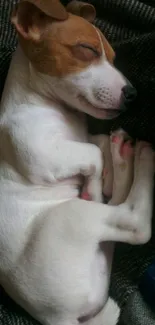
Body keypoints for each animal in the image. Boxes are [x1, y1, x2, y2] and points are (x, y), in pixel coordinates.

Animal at [0, 0, 154, 324]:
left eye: (113, 57)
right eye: (87, 49)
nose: (132, 94)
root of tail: (58, 319)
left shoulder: (80, 139)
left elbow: (96, 144)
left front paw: (108, 171)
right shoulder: (38, 153)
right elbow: (92, 153)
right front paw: (94, 185)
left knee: (115, 210)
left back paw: (123, 156)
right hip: (73, 218)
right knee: (134, 223)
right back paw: (143, 158)